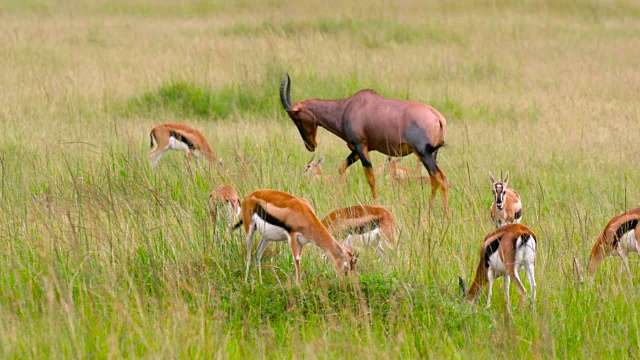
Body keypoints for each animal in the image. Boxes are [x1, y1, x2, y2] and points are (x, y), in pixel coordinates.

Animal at [280, 73, 450, 208]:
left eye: (296, 117)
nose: (310, 145)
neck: (348, 107)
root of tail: (437, 116)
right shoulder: (356, 150)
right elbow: (341, 167)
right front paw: (337, 201)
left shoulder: (361, 146)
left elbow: (370, 178)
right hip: (432, 154)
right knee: (435, 179)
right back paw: (430, 209)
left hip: (424, 153)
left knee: (441, 178)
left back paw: (445, 215)